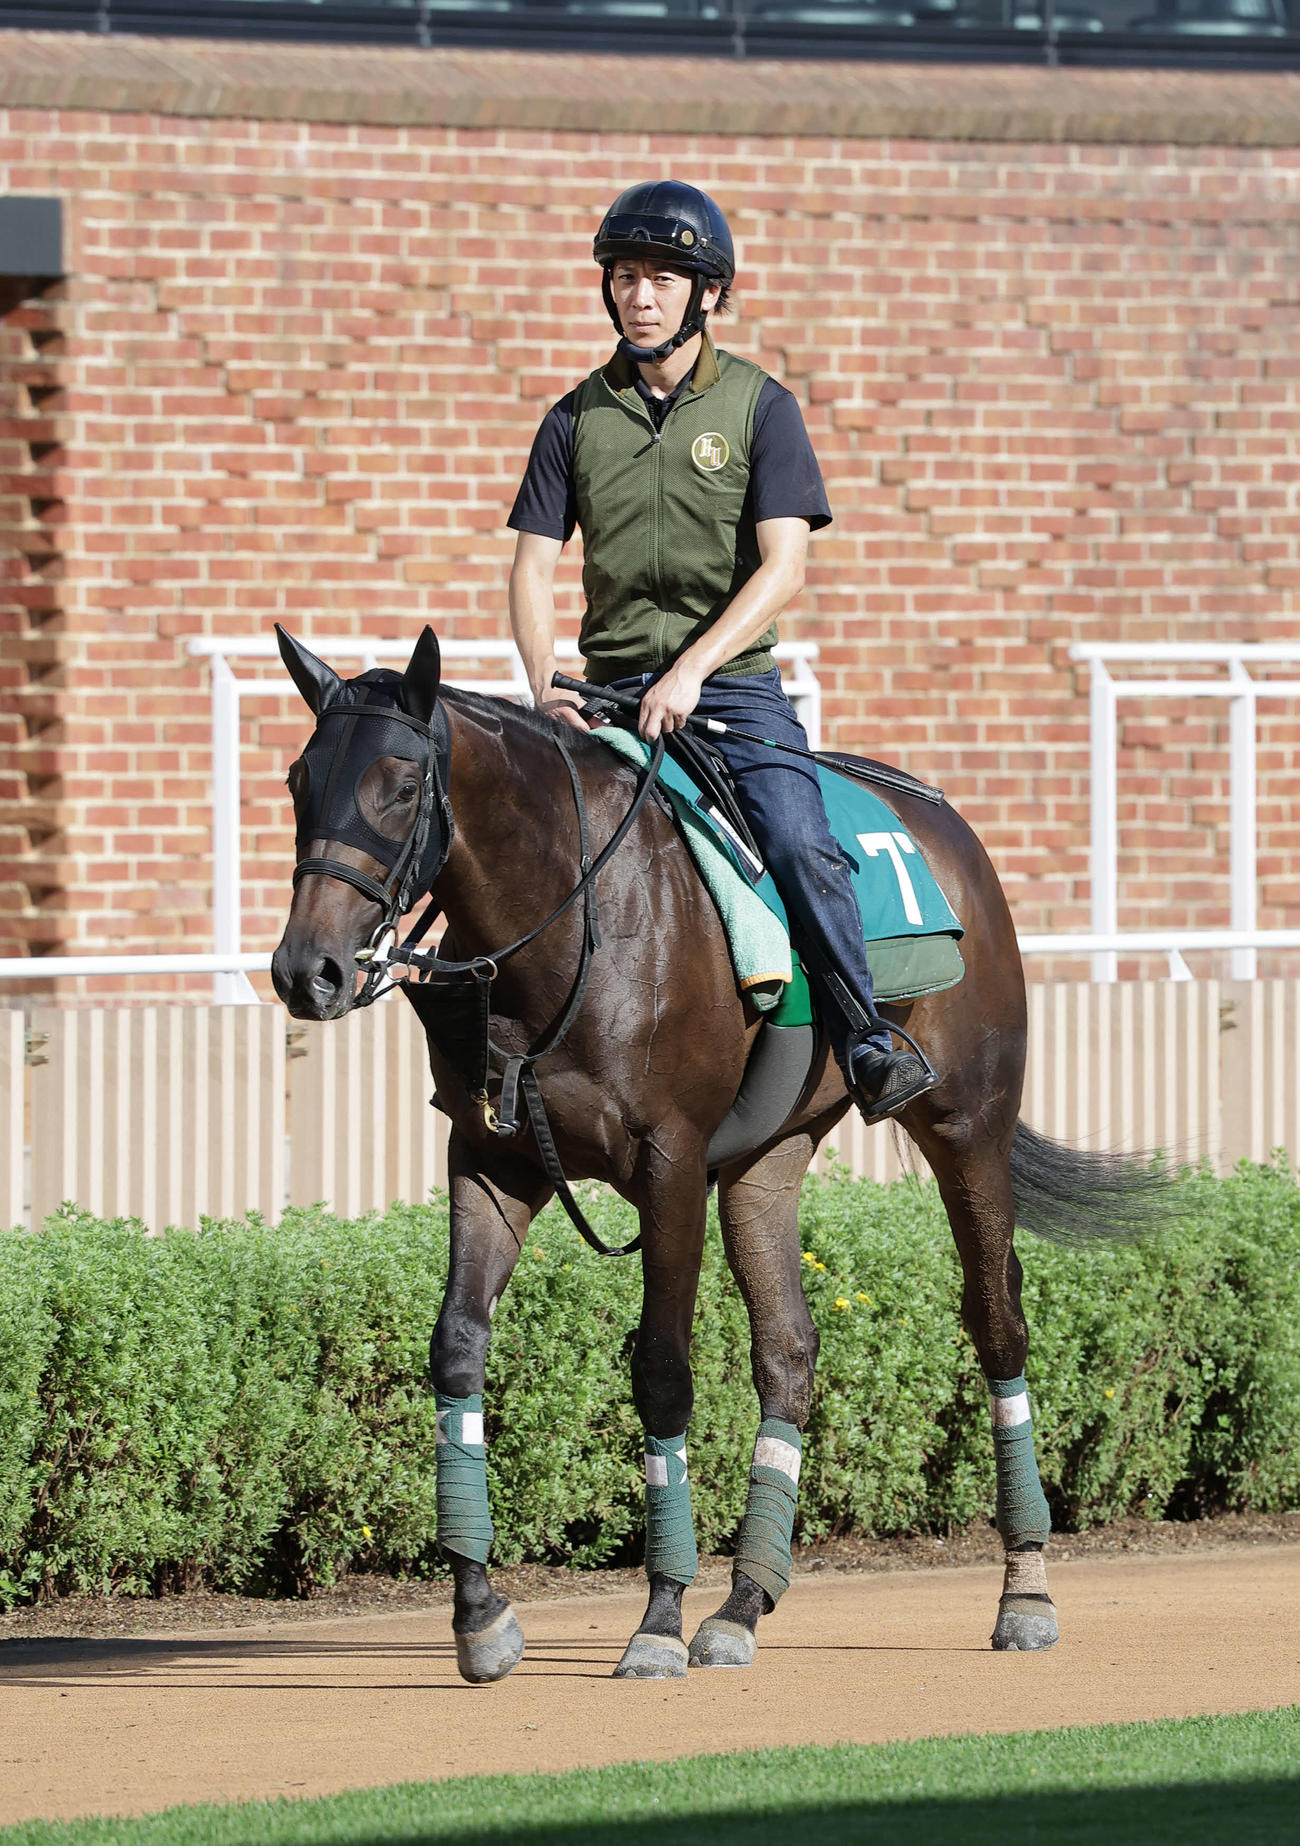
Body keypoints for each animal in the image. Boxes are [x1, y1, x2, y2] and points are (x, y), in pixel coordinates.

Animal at [271, 625, 1165, 1684]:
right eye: (298, 778)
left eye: (402, 783)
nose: (306, 971)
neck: (581, 914)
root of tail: (945, 824)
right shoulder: (492, 1161)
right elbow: (457, 1349)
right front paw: (481, 1612)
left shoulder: (670, 1167)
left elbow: (661, 1368)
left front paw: (657, 1615)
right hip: (762, 1167)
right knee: (789, 1353)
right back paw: (744, 1603)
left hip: (966, 1129)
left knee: (997, 1324)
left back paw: (1024, 1586)